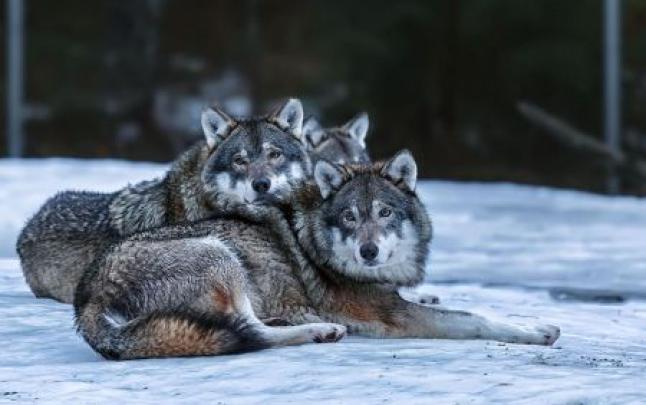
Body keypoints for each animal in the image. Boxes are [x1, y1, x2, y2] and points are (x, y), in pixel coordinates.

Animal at [75, 151, 560, 360]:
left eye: (384, 213)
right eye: (349, 217)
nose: (368, 250)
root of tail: (87, 300)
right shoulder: (391, 316)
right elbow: (475, 316)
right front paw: (538, 331)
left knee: (244, 326)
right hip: (219, 254)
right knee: (250, 334)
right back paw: (320, 330)